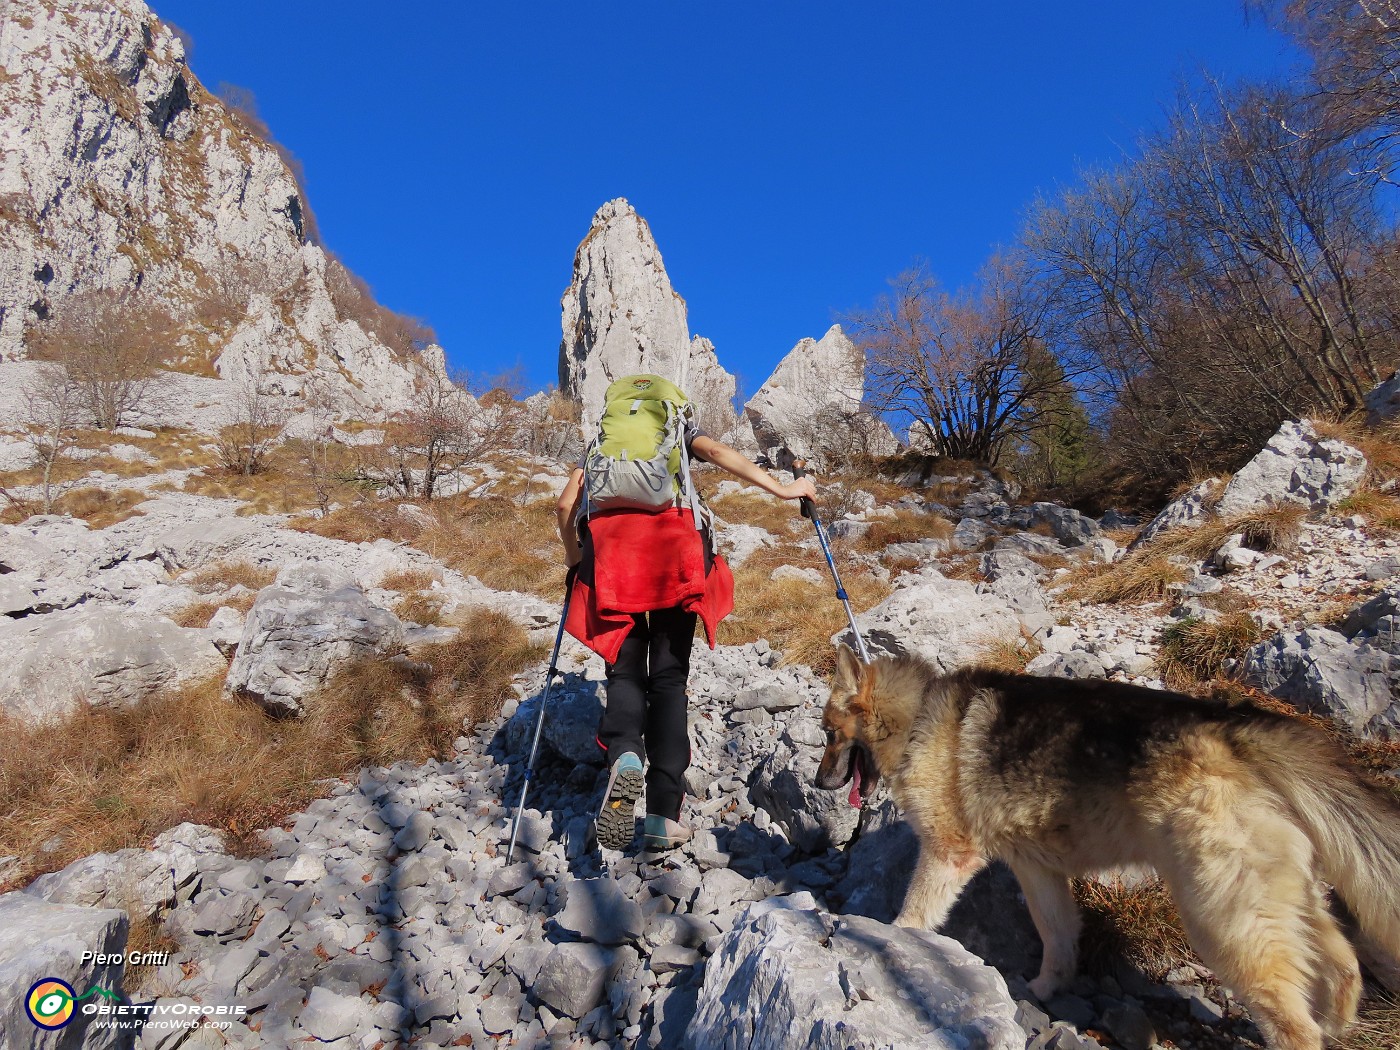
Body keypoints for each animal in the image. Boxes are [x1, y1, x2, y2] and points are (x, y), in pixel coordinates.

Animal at [817, 646, 1400, 1050]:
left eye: (828, 734)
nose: (820, 783)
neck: (917, 717)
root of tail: (1233, 729)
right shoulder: (1037, 871)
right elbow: (1058, 937)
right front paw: (1046, 989)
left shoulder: (947, 853)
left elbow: (913, 916)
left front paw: (891, 941)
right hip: (1286, 898)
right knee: (1345, 965)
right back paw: (1339, 1022)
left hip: (1225, 918)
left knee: (1294, 1021)